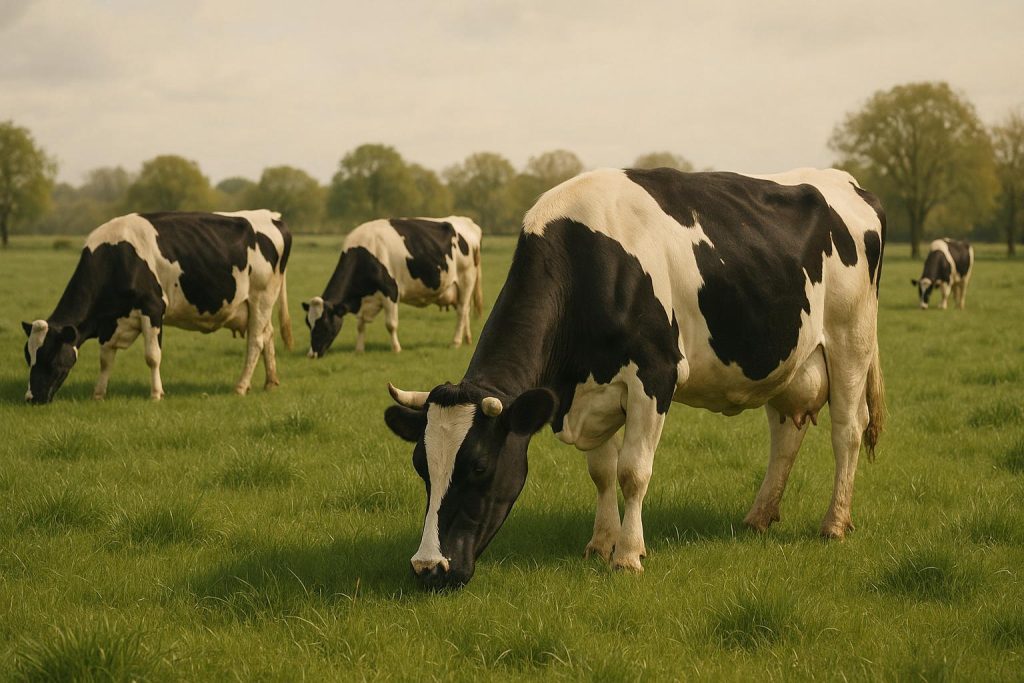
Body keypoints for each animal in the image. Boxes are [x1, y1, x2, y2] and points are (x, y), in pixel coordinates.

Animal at [22, 210, 293, 404]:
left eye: (50, 357)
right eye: (28, 357)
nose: (31, 399)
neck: (117, 257)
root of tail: (272, 216)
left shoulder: (152, 308)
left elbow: (152, 356)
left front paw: (156, 395)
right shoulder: (111, 322)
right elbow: (105, 359)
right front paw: (98, 394)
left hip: (261, 297)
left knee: (255, 341)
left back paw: (240, 387)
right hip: (257, 305)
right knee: (267, 335)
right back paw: (270, 383)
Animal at [303, 216, 483, 357]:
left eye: (323, 324)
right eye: (308, 323)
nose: (312, 355)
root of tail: (467, 222)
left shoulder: (390, 292)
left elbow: (391, 324)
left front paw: (396, 349)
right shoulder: (365, 300)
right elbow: (360, 325)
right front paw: (359, 350)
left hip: (466, 279)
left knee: (461, 311)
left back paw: (456, 342)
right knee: (465, 311)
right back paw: (467, 340)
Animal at [384, 167, 886, 590]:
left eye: (479, 467)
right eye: (420, 465)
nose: (428, 567)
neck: (589, 262)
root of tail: (847, 181)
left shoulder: (655, 375)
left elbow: (633, 472)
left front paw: (627, 555)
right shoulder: (590, 393)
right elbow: (602, 473)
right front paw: (600, 543)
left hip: (851, 340)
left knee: (847, 430)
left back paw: (834, 523)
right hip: (787, 361)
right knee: (785, 437)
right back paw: (759, 517)